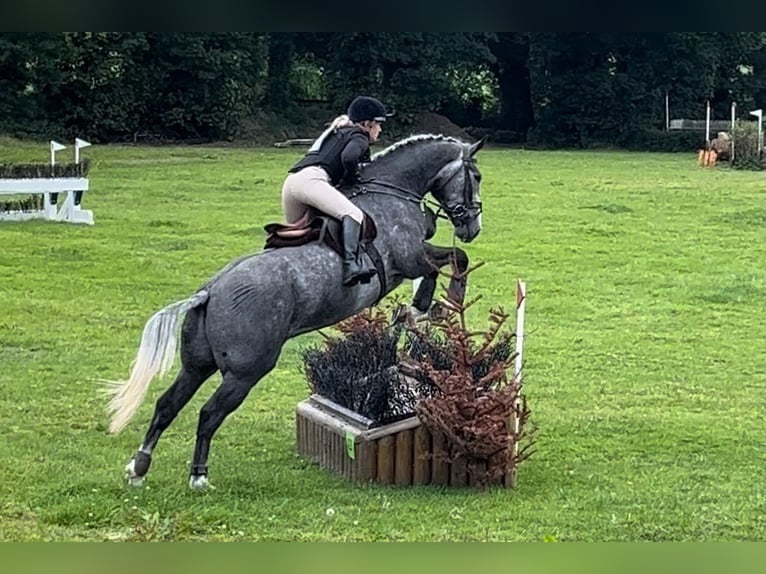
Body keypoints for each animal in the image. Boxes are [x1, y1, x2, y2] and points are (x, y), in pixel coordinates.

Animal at [109, 135, 486, 490]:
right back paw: (198, 477)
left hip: (196, 365)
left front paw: (419, 311)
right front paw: (436, 306)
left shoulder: (411, 261)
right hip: (245, 372)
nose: (472, 228)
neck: (393, 190)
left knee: (167, 405)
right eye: (477, 176)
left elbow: (449, 262)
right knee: (208, 414)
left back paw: (138, 468)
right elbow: (454, 260)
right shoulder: (410, 259)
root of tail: (210, 291)